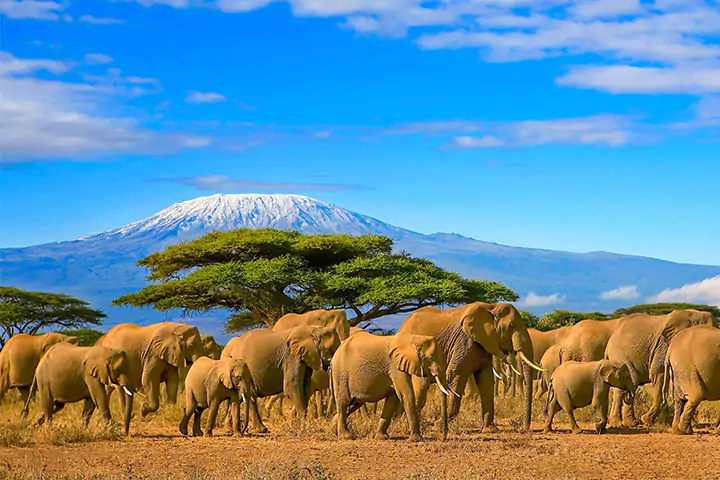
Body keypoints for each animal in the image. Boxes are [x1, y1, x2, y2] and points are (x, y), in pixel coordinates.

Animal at [396, 304, 544, 432]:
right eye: (511, 325)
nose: (524, 429)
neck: (491, 307)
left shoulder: (483, 343)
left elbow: (486, 380)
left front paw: (490, 430)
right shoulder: (465, 341)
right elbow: (456, 375)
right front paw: (438, 426)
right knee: (420, 389)